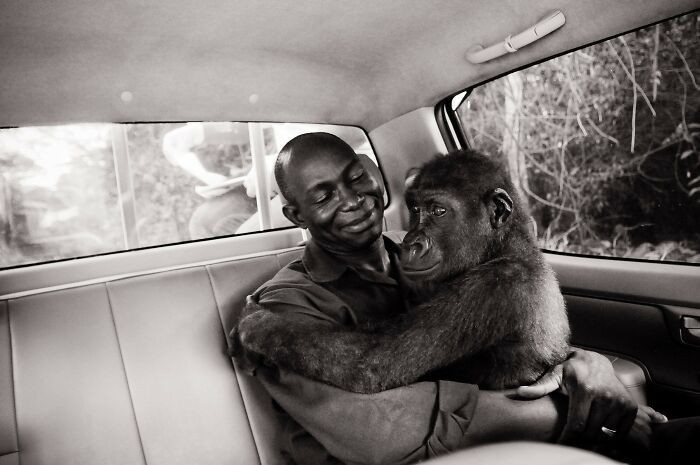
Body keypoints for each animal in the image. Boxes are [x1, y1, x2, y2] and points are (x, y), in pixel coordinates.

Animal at [238, 149, 572, 392]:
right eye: (415, 209)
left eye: (439, 211)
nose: (412, 242)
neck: (504, 247)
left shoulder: (492, 288)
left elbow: (373, 360)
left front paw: (261, 324)